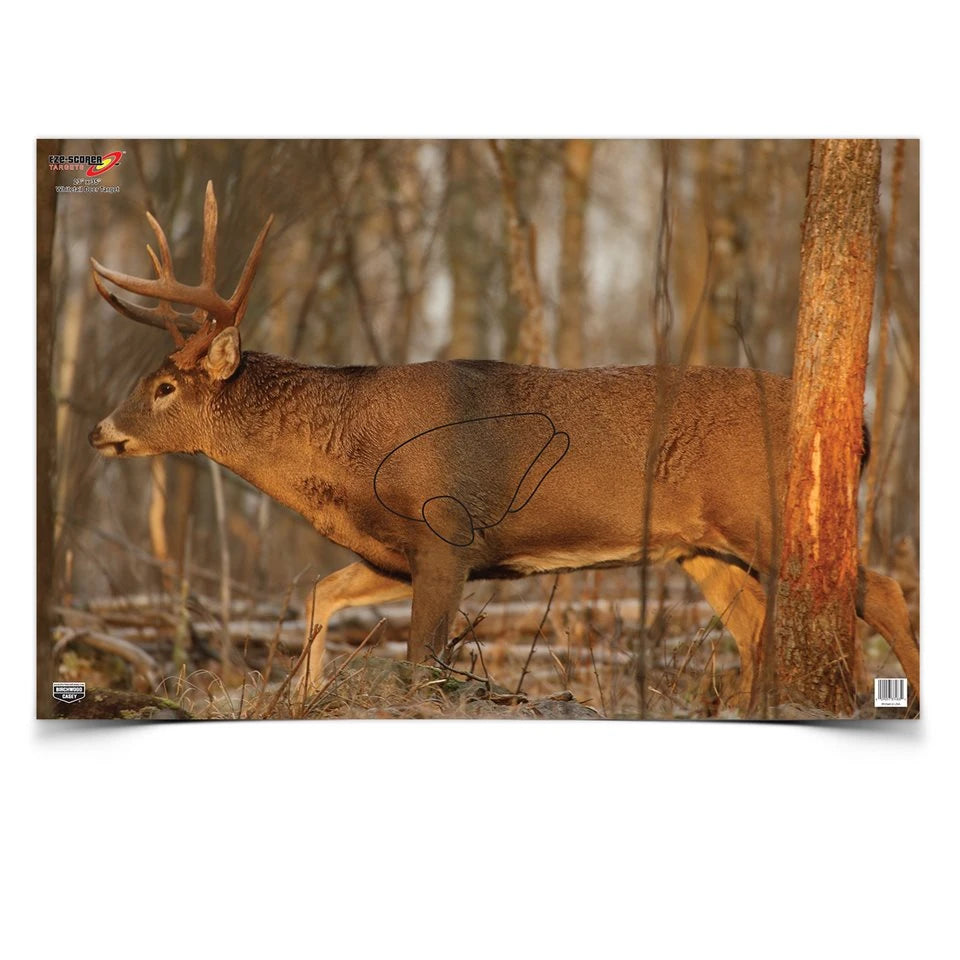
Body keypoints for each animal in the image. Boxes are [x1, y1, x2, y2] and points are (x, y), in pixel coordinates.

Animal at [87, 182, 920, 711]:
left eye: (165, 387)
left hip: (766, 515)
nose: (100, 430)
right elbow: (321, 594)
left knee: (881, 591)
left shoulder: (447, 533)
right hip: (700, 546)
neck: (347, 459)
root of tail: (860, 426)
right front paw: (306, 695)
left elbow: (423, 663)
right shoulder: (399, 551)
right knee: (755, 628)